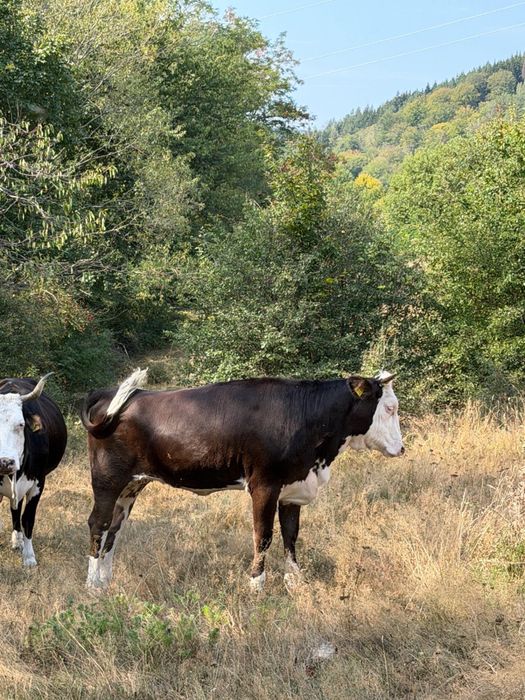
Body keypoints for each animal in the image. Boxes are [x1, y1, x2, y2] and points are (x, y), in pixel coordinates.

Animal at [81, 369, 403, 591]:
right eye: (390, 408)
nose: (401, 448)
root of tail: (112, 394)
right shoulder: (264, 484)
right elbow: (263, 536)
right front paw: (256, 585)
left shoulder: (292, 489)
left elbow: (291, 535)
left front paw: (295, 582)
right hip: (107, 478)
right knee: (99, 523)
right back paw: (92, 586)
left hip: (131, 485)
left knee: (115, 528)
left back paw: (105, 580)